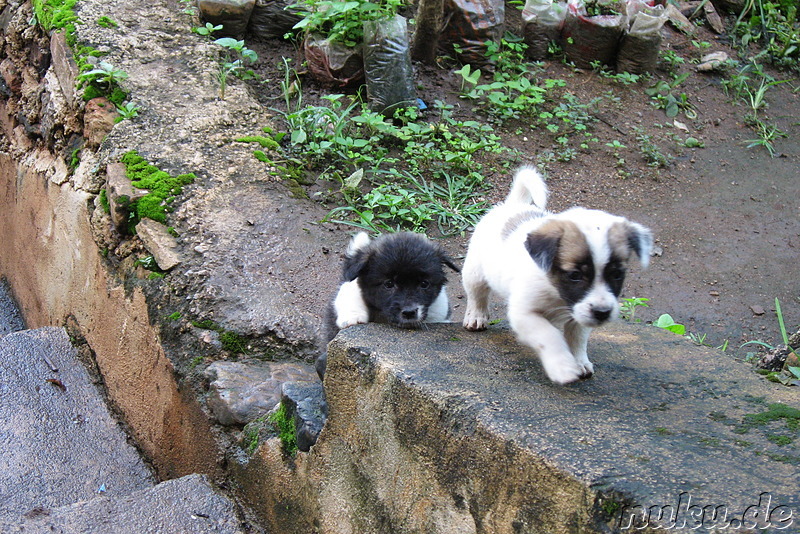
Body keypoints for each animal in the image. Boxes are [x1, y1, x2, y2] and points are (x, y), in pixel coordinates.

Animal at [318, 232, 460, 378]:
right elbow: (350, 294)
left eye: (424, 284)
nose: (409, 312)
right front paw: (353, 317)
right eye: (389, 284)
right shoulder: (350, 286)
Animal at [460, 166, 652, 386]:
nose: (602, 312)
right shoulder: (524, 313)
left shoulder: (580, 314)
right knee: (477, 295)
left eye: (617, 274)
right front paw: (562, 366)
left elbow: (577, 338)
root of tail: (513, 205)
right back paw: (476, 316)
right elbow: (548, 336)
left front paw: (579, 361)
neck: (556, 291)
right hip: (474, 272)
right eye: (575, 275)